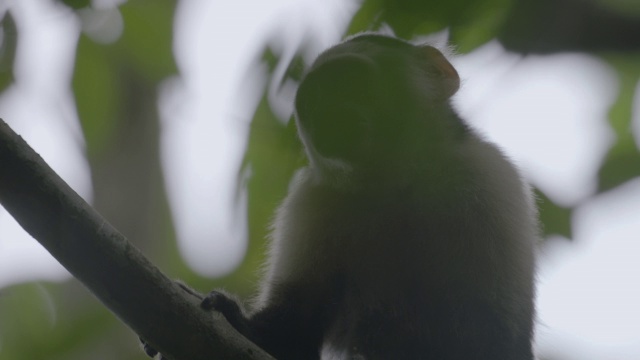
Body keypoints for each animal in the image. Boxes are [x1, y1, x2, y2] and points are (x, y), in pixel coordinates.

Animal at [146, 33, 540, 360]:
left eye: (347, 81)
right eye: (313, 102)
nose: (330, 116)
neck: (398, 183)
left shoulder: (489, 179)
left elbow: (496, 334)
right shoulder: (313, 200)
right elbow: (291, 335)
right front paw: (237, 322)